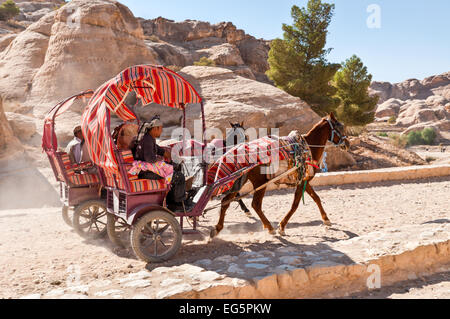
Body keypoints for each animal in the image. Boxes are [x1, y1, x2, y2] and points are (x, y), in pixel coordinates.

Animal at [209, 112, 350, 238]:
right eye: (340, 127)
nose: (347, 143)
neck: (307, 147)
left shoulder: (304, 180)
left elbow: (316, 198)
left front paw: (326, 219)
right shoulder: (302, 181)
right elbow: (295, 205)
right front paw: (282, 226)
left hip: (240, 181)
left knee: (225, 202)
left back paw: (217, 228)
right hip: (260, 183)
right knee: (255, 204)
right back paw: (270, 228)